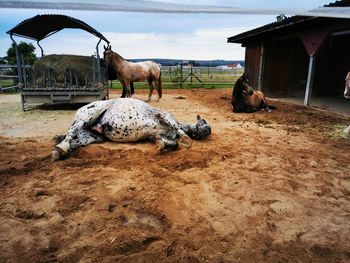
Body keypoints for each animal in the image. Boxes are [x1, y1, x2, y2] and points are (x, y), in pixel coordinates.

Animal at [52, 98, 211, 161]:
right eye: (203, 121)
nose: (208, 130)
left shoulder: (156, 135)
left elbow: (172, 143)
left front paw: (161, 145)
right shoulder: (164, 116)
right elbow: (179, 131)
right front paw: (186, 139)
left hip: (91, 136)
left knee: (73, 141)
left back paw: (59, 152)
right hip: (88, 115)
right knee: (70, 134)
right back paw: (61, 146)